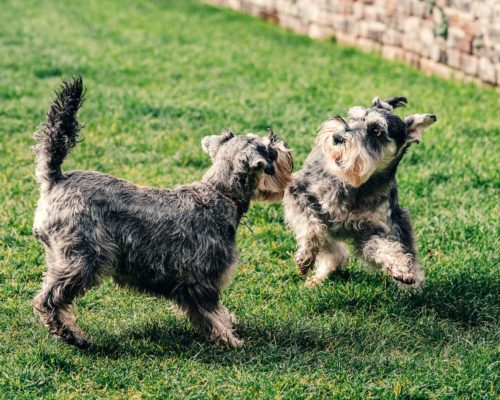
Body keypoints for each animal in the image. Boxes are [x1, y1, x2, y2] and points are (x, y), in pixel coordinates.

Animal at [31, 77, 292, 346]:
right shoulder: (203, 280)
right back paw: (73, 335)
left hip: (61, 258)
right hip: (83, 260)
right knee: (49, 300)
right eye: (268, 148)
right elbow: (212, 313)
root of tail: (55, 179)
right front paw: (229, 340)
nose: (282, 143)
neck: (220, 194)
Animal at [284, 97, 436, 290]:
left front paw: (402, 268)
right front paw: (305, 258)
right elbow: (312, 227)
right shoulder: (298, 192)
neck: (357, 185)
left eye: (376, 131)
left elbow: (384, 246)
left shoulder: (375, 229)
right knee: (330, 246)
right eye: (353, 118)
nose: (337, 137)